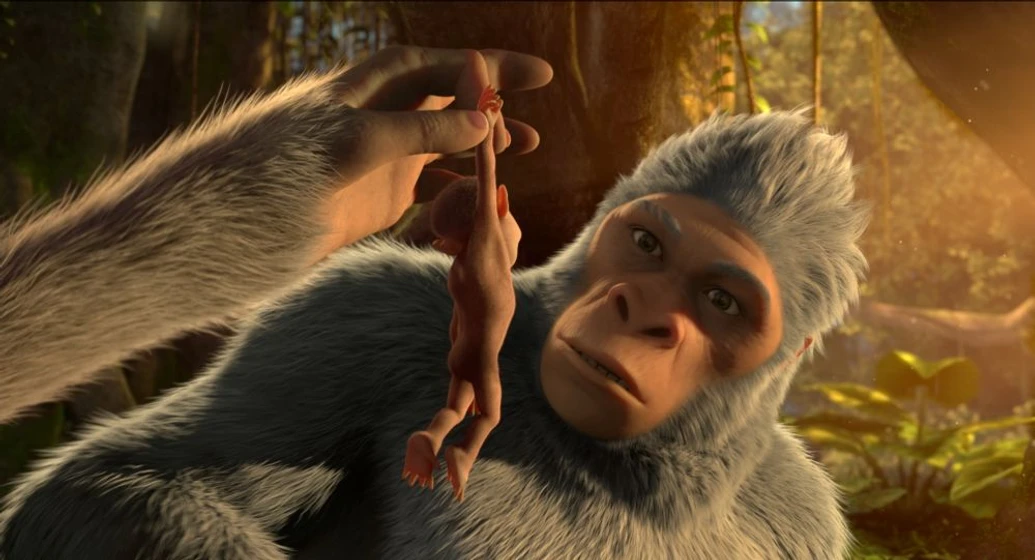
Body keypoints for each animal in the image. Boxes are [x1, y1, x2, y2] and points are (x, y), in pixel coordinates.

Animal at [0, 108, 869, 560]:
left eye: (721, 301)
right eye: (648, 245)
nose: (641, 314)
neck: (628, 468)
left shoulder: (804, 515)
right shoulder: (357, 316)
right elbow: (117, 481)